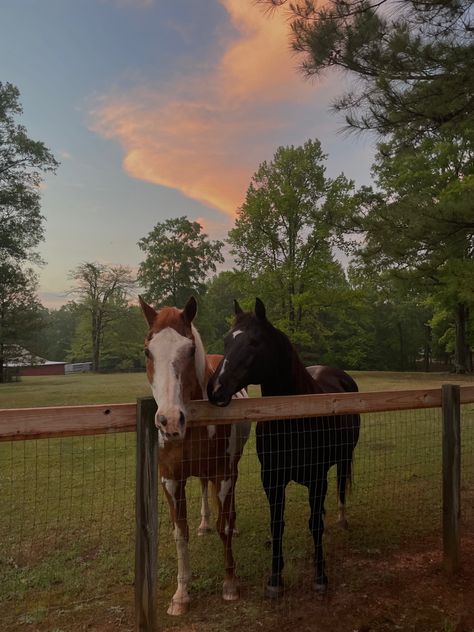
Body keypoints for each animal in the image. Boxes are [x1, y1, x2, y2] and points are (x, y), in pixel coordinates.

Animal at [138, 298, 252, 616]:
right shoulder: (170, 480)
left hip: (232, 467)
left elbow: (224, 526)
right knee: (202, 488)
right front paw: (181, 595)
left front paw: (230, 584)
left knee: (229, 508)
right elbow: (181, 534)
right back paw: (204, 524)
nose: (169, 421)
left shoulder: (223, 474)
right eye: (147, 351)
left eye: (189, 350)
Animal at [207, 298, 360, 596]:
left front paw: (320, 576)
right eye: (227, 341)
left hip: (343, 459)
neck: (292, 416)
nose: (216, 389)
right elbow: (277, 524)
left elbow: (314, 525)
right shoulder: (272, 479)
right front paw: (275, 578)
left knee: (340, 485)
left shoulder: (316, 477)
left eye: (254, 342)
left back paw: (342, 519)